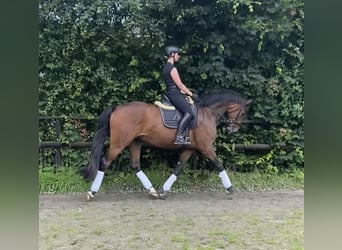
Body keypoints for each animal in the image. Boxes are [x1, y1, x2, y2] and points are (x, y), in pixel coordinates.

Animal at [80, 89, 251, 200]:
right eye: (242, 113)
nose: (233, 129)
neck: (208, 113)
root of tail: (117, 108)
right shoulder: (206, 147)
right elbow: (219, 164)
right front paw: (230, 188)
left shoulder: (190, 148)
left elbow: (178, 168)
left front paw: (164, 191)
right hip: (119, 143)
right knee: (104, 162)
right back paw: (92, 192)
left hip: (135, 142)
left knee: (135, 165)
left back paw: (152, 191)